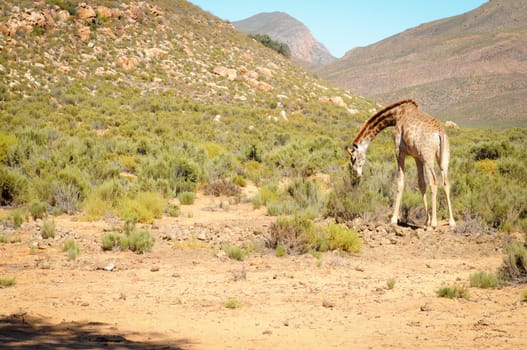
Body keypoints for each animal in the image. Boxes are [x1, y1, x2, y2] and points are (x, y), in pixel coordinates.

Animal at [346, 100, 458, 228]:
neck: (396, 114)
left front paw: (393, 219)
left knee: (434, 181)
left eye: (353, 158)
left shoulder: (399, 151)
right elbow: (421, 184)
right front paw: (426, 220)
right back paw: (451, 221)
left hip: (428, 157)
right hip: (444, 158)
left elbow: (400, 181)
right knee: (446, 182)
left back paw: (434, 223)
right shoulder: (417, 157)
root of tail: (440, 133)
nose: (356, 175)